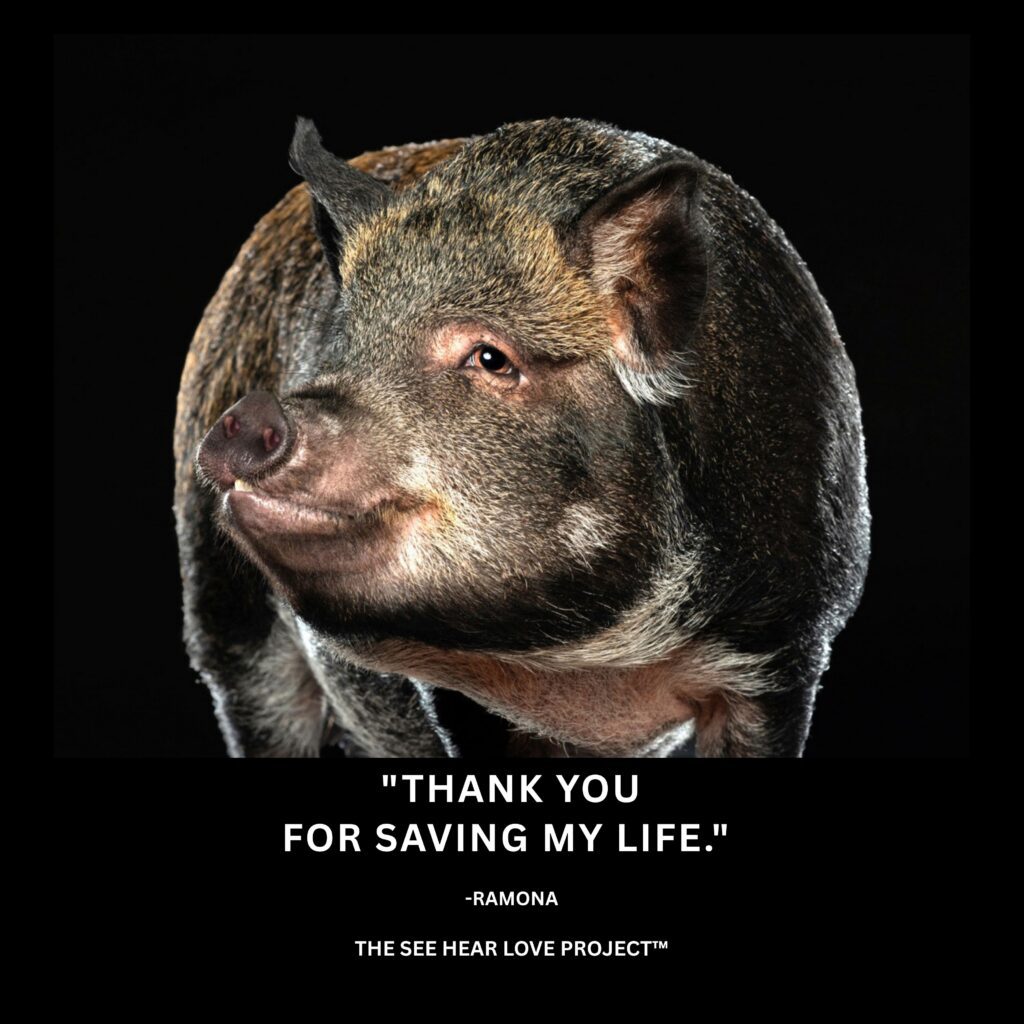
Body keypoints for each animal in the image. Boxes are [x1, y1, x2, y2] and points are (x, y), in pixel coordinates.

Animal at [173, 116, 870, 758]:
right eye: (344, 348)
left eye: (491, 358)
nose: (256, 411)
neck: (597, 662)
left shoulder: (784, 650)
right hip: (221, 608)